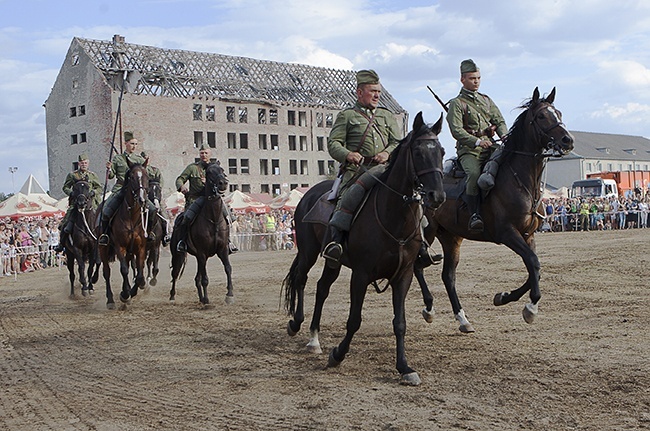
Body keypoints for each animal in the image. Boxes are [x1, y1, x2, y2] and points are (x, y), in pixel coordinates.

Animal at [98, 163, 151, 310]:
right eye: (131, 177)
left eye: (147, 176)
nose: (142, 200)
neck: (131, 217)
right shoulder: (119, 246)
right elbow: (124, 270)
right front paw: (125, 295)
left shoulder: (141, 247)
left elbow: (139, 273)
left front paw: (131, 291)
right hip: (103, 248)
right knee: (106, 272)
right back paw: (111, 300)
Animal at [170, 163, 233, 308]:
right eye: (209, 172)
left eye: (222, 170)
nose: (223, 183)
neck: (213, 219)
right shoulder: (202, 253)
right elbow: (205, 279)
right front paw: (208, 300)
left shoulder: (222, 250)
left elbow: (228, 268)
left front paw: (229, 295)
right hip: (179, 255)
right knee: (175, 274)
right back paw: (172, 296)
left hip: (199, 258)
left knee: (196, 278)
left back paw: (201, 298)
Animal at [282, 113, 446, 386]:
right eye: (419, 152)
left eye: (442, 152)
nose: (438, 196)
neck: (394, 218)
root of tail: (308, 196)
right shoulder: (360, 275)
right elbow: (354, 320)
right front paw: (338, 354)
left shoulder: (403, 276)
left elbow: (400, 323)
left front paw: (404, 367)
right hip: (308, 253)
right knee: (302, 280)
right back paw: (297, 324)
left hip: (333, 261)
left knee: (322, 288)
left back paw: (315, 337)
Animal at [416, 86, 572, 332]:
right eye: (541, 116)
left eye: (558, 113)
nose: (568, 140)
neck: (519, 179)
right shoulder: (507, 233)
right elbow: (533, 263)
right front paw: (530, 308)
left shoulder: (528, 235)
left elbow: (534, 268)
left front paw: (504, 297)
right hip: (428, 232)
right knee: (418, 267)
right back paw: (429, 309)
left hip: (451, 238)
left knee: (448, 277)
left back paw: (462, 319)